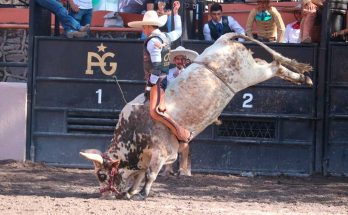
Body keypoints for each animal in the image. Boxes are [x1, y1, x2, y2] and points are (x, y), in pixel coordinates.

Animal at [79, 33, 312, 200]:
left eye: (102, 175)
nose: (104, 194)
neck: (133, 131)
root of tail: (223, 40)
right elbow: (139, 175)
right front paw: (131, 192)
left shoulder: (160, 152)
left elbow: (149, 174)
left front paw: (141, 194)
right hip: (253, 67)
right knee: (272, 64)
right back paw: (303, 77)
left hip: (250, 74)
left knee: (276, 66)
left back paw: (302, 77)